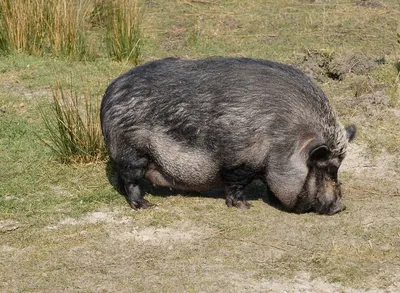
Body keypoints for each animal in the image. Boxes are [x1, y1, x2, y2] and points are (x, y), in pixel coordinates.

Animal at [101, 57, 356, 213]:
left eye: (337, 168)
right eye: (324, 167)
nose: (340, 207)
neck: (282, 139)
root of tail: (109, 93)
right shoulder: (239, 160)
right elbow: (236, 184)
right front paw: (245, 207)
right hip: (132, 151)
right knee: (130, 179)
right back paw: (146, 205)